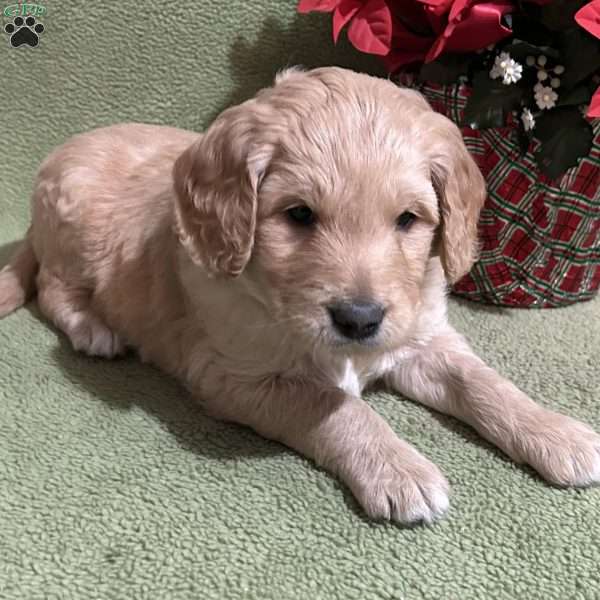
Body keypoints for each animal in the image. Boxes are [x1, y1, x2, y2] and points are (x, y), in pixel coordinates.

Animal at [1, 68, 600, 524]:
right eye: (299, 215)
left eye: (408, 220)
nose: (359, 319)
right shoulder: (235, 376)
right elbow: (337, 407)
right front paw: (399, 468)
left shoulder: (422, 337)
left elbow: (484, 383)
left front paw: (557, 434)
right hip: (73, 233)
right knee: (51, 287)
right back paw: (93, 328)